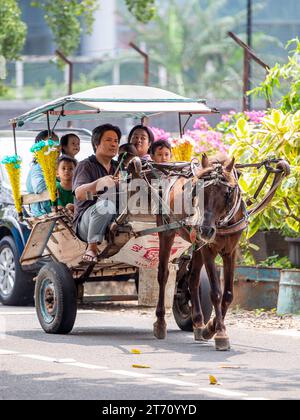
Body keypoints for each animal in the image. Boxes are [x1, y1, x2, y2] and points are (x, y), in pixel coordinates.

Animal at [152, 154, 244, 352]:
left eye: (226, 193)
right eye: (198, 191)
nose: (205, 230)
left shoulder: (230, 251)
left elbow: (228, 294)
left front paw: (211, 328)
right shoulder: (208, 249)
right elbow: (216, 292)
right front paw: (220, 333)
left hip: (195, 243)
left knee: (193, 279)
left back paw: (199, 323)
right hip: (167, 231)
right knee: (163, 274)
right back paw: (160, 322)